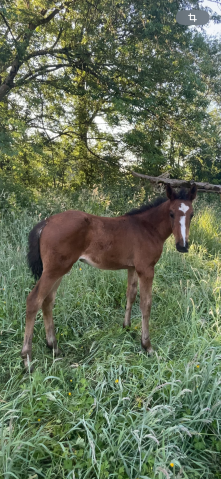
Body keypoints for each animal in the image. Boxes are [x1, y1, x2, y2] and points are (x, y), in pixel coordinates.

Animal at [20, 185, 197, 372]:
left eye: (192, 214)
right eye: (171, 213)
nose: (182, 246)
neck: (148, 228)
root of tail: (47, 221)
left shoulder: (133, 268)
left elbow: (130, 295)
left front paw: (126, 327)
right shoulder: (146, 269)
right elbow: (146, 304)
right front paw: (147, 346)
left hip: (59, 270)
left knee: (47, 301)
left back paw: (53, 347)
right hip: (54, 270)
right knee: (34, 300)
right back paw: (27, 359)